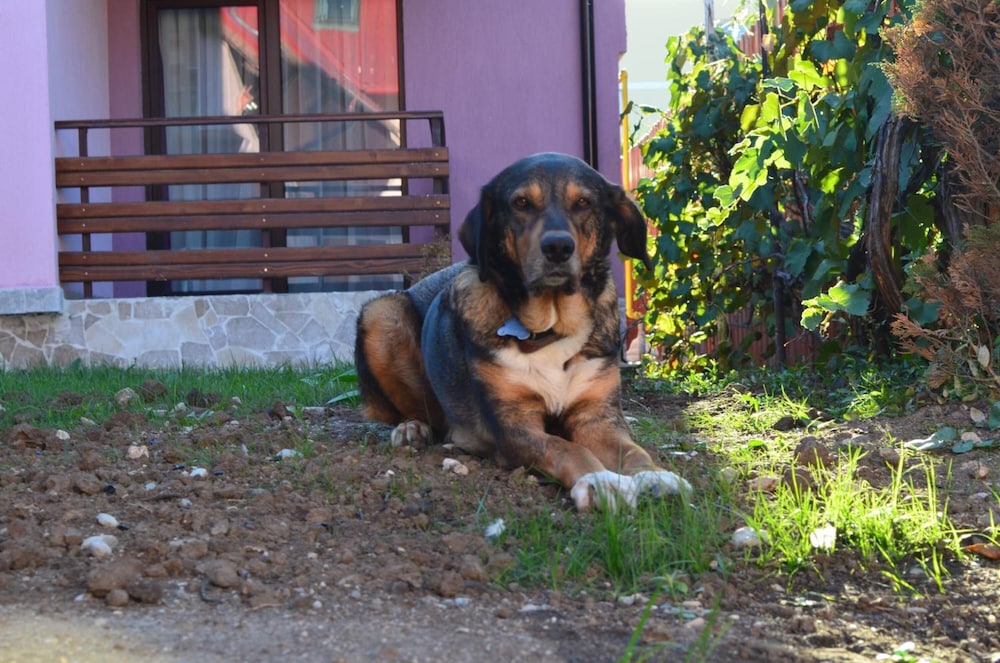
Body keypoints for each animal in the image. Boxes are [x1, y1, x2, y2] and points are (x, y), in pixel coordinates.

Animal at [354, 153, 689, 510]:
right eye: (521, 203)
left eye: (583, 202)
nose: (558, 247)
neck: (551, 328)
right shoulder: (514, 425)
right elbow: (566, 448)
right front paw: (599, 481)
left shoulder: (597, 416)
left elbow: (632, 450)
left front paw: (655, 476)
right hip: (382, 314)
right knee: (412, 412)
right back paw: (412, 429)